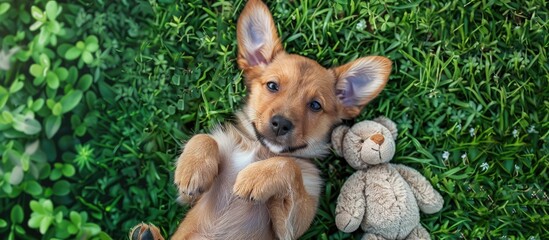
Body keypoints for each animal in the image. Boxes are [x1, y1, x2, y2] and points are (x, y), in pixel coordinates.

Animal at [131, 0, 392, 239]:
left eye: (315, 105)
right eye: (272, 85)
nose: (281, 123)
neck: (260, 151)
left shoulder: (290, 226)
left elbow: (288, 166)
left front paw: (256, 177)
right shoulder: (188, 198)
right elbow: (203, 137)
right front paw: (192, 169)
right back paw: (146, 234)